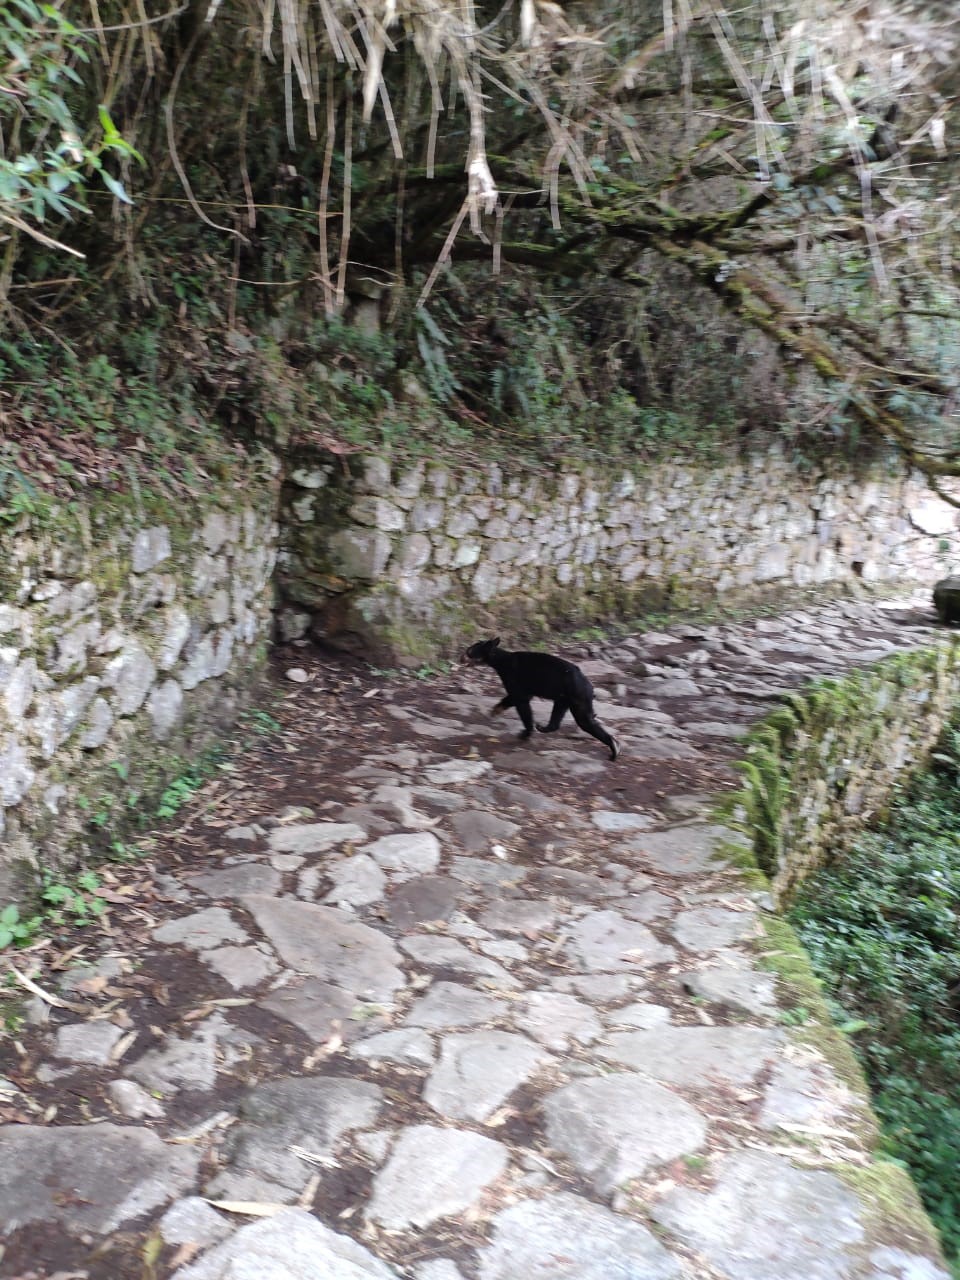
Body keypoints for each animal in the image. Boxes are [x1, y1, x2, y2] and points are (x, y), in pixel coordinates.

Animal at [460, 637, 624, 757]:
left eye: (469, 651)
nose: (460, 657)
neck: (501, 662)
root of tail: (589, 686)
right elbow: (513, 699)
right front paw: (495, 710)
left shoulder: (513, 678)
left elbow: (521, 702)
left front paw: (525, 733)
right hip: (564, 698)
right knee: (559, 717)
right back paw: (544, 727)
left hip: (577, 696)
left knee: (585, 721)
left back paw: (614, 748)